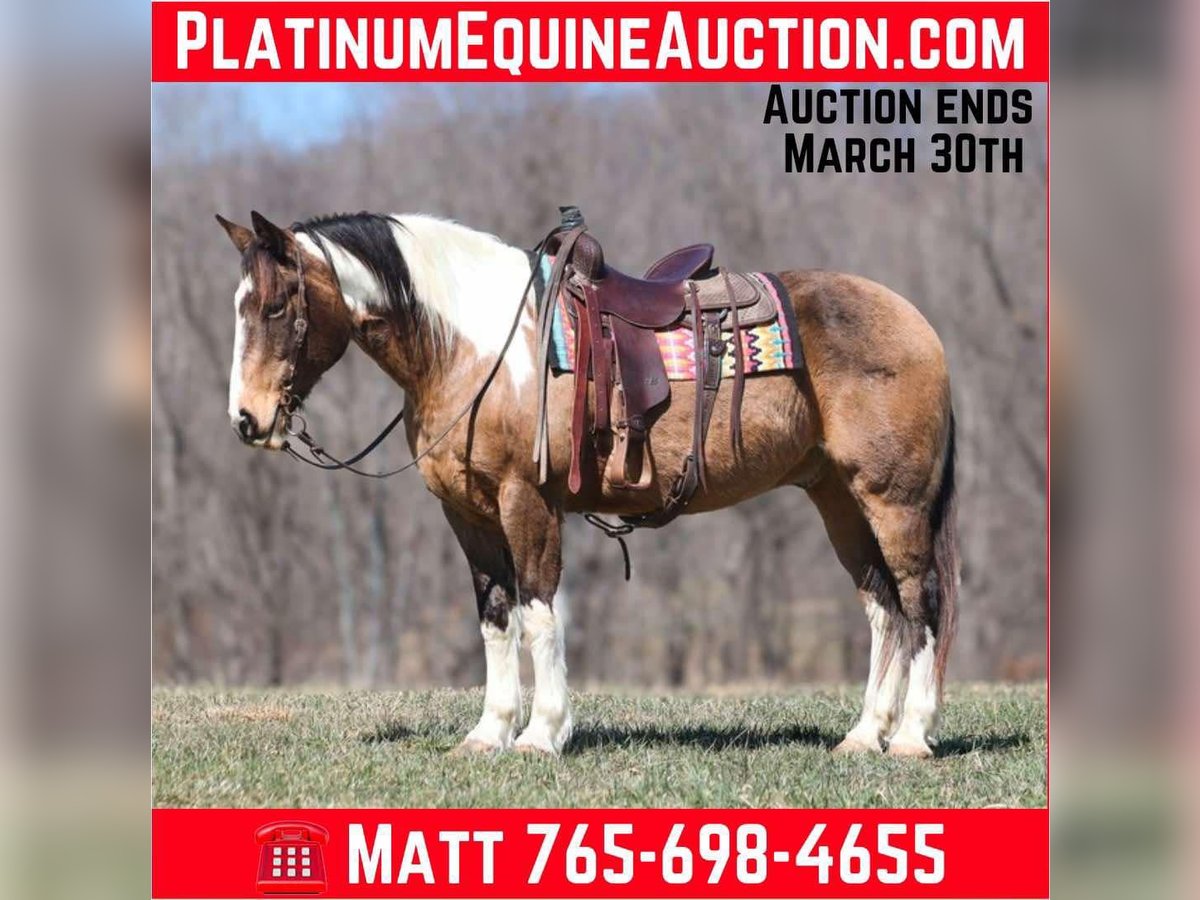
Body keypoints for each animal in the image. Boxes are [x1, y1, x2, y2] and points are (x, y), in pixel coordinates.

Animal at [218, 209, 958, 759]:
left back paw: (911, 736)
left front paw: (541, 733)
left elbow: (540, 610)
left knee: (920, 601)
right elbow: (496, 616)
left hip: (893, 500)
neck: (475, 347)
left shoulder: (527, 500)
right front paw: (488, 733)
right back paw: (864, 736)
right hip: (838, 499)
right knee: (883, 607)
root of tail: (920, 326)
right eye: (241, 306)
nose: (247, 420)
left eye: (278, 305)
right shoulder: (467, 514)